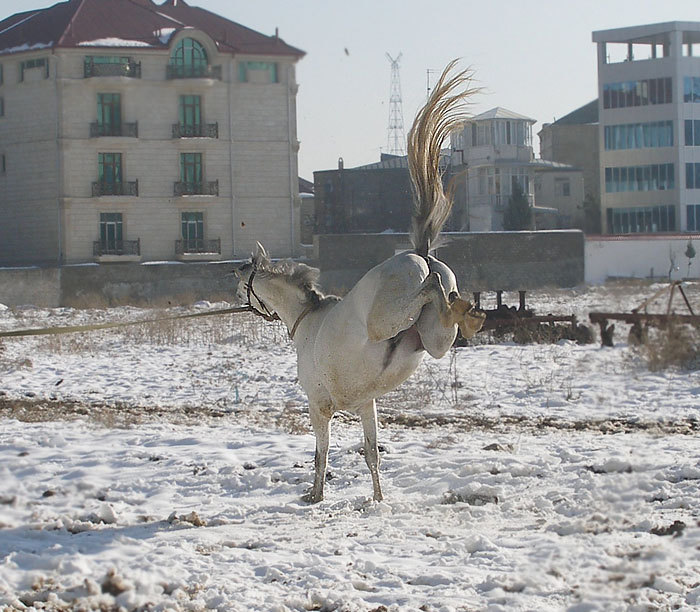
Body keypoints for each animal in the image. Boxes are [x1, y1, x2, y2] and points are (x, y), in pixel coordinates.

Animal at [234, 62, 482, 502]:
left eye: (245, 281)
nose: (235, 289)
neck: (306, 321)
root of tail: (419, 253)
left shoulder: (319, 406)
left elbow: (321, 455)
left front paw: (315, 496)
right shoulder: (367, 404)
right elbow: (371, 453)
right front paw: (378, 499)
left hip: (387, 320)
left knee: (429, 288)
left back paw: (459, 306)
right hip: (436, 341)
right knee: (444, 307)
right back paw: (468, 313)